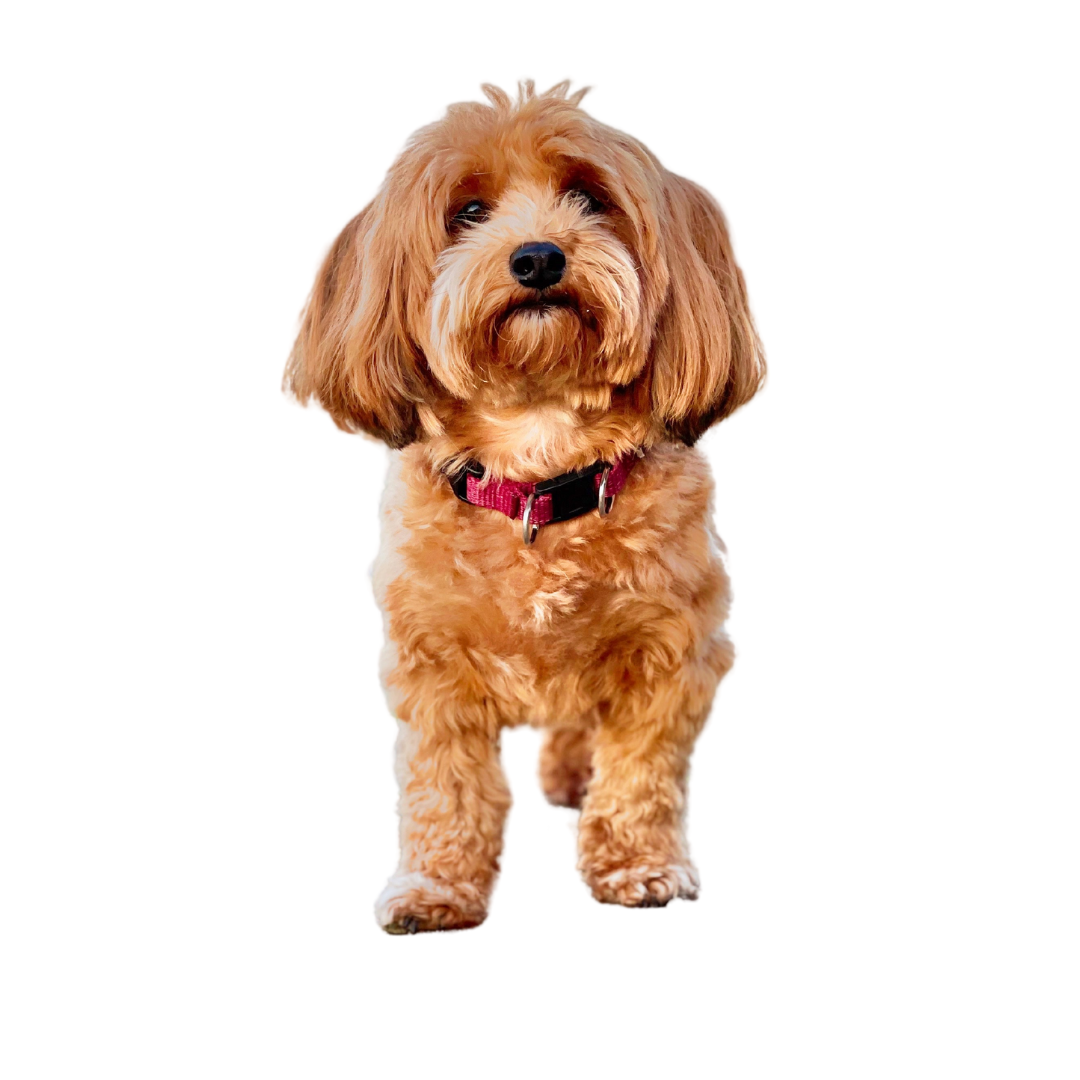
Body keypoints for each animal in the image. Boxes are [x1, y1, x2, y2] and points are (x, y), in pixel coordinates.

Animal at [282, 82, 764, 928]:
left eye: (590, 198)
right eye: (469, 212)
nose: (538, 256)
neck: (541, 470)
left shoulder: (674, 646)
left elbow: (641, 770)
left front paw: (639, 864)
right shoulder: (429, 659)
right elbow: (445, 783)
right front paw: (435, 885)